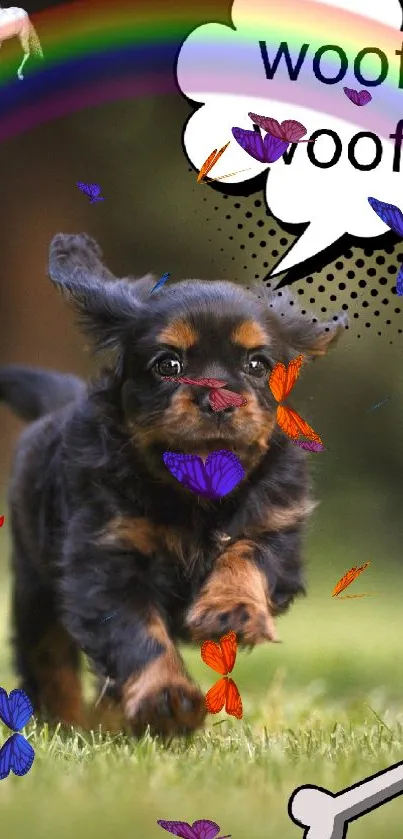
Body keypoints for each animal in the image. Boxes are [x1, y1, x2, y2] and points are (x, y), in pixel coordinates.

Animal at [0, 233, 348, 740]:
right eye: (168, 364)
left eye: (258, 365)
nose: (219, 398)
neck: (197, 489)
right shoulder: (107, 559)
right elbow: (138, 634)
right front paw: (166, 700)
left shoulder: (276, 527)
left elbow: (245, 555)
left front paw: (231, 610)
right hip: (35, 587)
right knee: (48, 661)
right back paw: (69, 724)